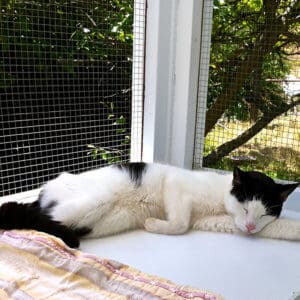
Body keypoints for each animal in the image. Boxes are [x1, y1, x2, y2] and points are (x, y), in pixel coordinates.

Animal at [0, 163, 298, 247]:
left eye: (264, 215)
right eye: (246, 207)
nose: (250, 227)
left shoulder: (216, 221)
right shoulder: (175, 185)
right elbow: (179, 224)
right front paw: (153, 223)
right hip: (93, 199)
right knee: (42, 216)